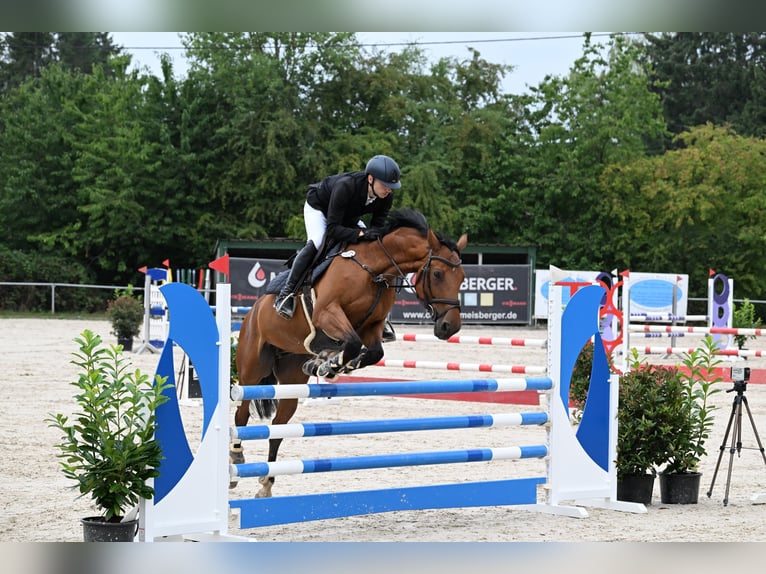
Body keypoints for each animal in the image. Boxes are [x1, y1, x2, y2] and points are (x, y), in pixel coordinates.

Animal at [231, 208, 468, 497]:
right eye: (437, 274)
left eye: (462, 278)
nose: (450, 327)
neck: (374, 268)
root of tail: (252, 312)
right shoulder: (327, 313)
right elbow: (352, 343)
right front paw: (327, 365)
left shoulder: (372, 326)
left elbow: (373, 352)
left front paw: (329, 365)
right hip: (252, 370)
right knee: (241, 414)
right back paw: (235, 458)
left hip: (290, 380)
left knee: (278, 426)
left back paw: (266, 483)